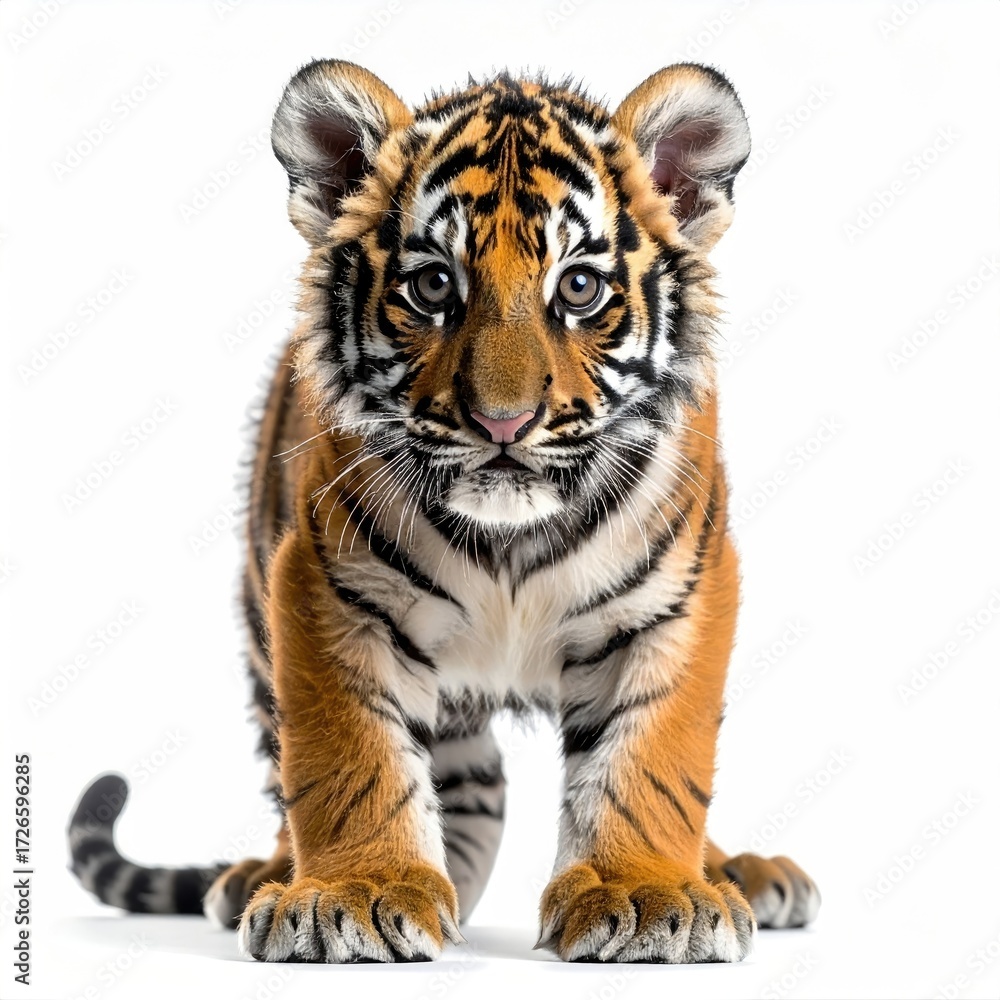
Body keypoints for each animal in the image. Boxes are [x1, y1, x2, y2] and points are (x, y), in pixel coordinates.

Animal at [68, 59, 820, 964]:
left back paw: (736, 870)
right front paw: (357, 893)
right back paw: (277, 873)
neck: (512, 542)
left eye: (578, 287)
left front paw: (644, 892)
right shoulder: (328, 589)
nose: (503, 422)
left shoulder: (678, 596)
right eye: (433, 286)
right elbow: (351, 756)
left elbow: (652, 758)